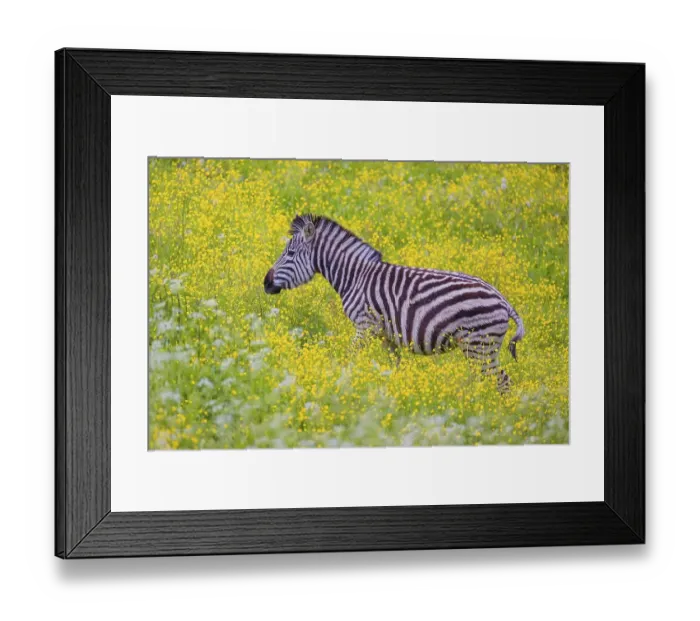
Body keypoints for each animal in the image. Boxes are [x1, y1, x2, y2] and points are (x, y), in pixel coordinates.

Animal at [264, 215, 525, 391]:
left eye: (290, 254)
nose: (265, 283)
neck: (355, 277)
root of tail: (503, 300)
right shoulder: (386, 335)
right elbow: (393, 369)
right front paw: (393, 395)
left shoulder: (365, 327)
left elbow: (349, 359)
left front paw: (341, 382)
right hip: (480, 348)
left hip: (480, 345)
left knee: (502, 382)